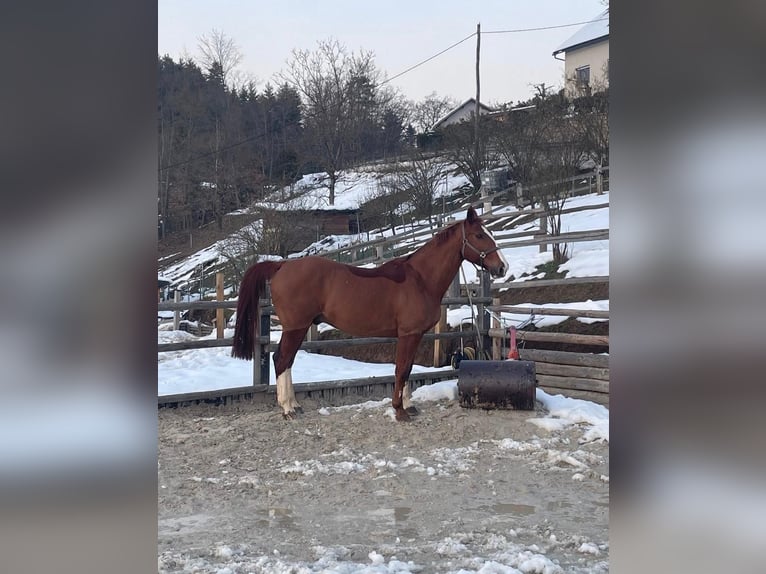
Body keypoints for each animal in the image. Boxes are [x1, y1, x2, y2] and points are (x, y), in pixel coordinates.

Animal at [231, 206, 508, 421]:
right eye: (479, 235)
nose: (502, 267)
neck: (420, 279)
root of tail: (281, 265)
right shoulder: (408, 334)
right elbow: (401, 369)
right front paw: (399, 411)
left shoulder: (415, 335)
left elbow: (408, 369)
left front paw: (409, 406)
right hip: (296, 327)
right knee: (282, 360)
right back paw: (288, 409)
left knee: (286, 361)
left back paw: (295, 406)